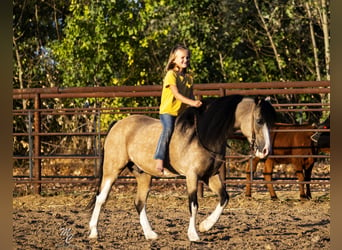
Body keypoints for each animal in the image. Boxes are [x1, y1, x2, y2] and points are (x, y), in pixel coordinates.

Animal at [87, 94, 276, 241]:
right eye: (259, 120)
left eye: (271, 122)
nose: (266, 150)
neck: (204, 136)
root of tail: (118, 124)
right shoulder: (192, 176)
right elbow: (193, 204)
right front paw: (193, 234)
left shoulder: (210, 175)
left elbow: (224, 197)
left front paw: (205, 226)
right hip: (112, 170)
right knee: (101, 198)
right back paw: (94, 232)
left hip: (144, 175)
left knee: (139, 202)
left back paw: (150, 234)